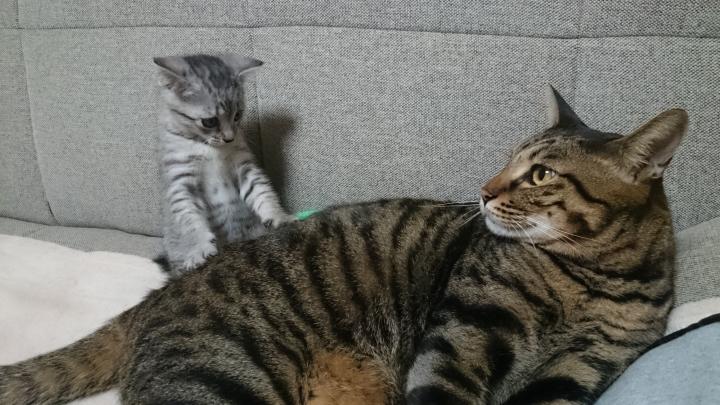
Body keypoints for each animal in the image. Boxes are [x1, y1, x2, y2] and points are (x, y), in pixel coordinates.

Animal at [0, 88, 687, 404]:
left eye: (541, 174)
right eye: (508, 161)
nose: (484, 191)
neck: (595, 279)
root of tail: (161, 294)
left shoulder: (582, 370)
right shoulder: (464, 333)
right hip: (220, 380)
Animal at [153, 53, 294, 275]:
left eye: (238, 115)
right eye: (210, 121)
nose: (229, 138)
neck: (207, 147)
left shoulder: (244, 167)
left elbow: (263, 192)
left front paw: (278, 215)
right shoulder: (181, 181)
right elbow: (189, 219)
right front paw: (200, 247)